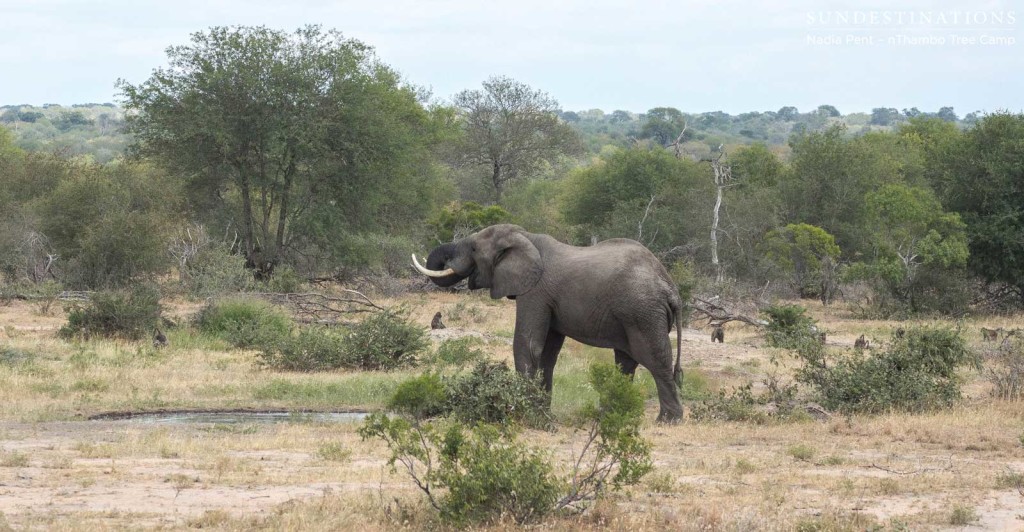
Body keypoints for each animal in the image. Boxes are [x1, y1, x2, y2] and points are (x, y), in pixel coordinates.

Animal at [411, 223, 684, 419]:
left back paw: (668, 420)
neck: (525, 236)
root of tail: (671, 289)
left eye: (475, 250)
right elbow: (547, 353)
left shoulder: (535, 292)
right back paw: (610, 414)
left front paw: (524, 411)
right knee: (625, 362)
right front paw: (542, 414)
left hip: (643, 312)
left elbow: (528, 343)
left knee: (654, 358)